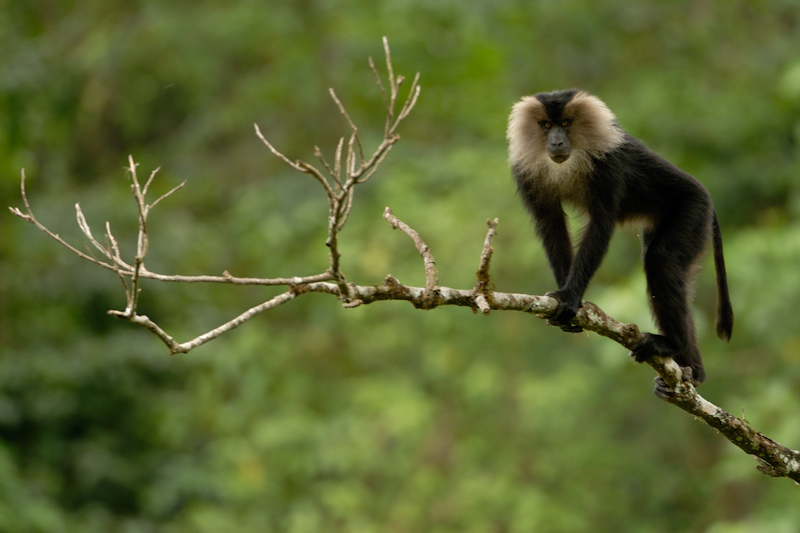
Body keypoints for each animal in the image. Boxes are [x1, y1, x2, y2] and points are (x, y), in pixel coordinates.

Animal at [506, 89, 732, 390]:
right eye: (545, 125)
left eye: (565, 123)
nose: (556, 141)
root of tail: (707, 199)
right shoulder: (527, 173)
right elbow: (550, 223)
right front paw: (572, 303)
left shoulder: (607, 165)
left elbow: (601, 223)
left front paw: (570, 296)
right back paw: (692, 372)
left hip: (693, 209)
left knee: (661, 259)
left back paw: (670, 345)